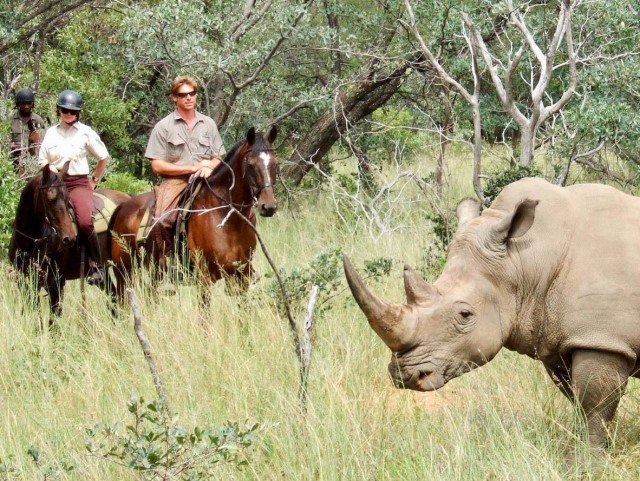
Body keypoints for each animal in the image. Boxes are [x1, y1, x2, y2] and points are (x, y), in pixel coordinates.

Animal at [9, 164, 131, 323]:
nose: (69, 238)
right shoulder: (24, 283)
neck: (31, 241)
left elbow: (54, 321)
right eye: (50, 199)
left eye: (67, 200)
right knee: (114, 299)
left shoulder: (56, 283)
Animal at [109, 126, 278, 300]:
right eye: (250, 165)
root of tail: (123, 206)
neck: (228, 218)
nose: (268, 207)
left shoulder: (240, 277)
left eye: (275, 164)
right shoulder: (204, 278)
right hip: (124, 272)